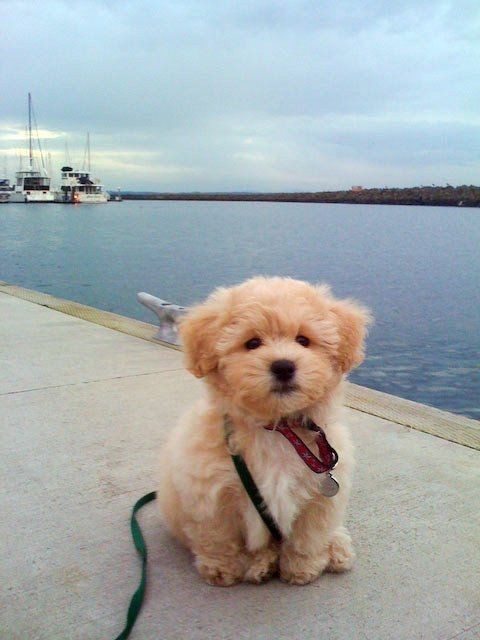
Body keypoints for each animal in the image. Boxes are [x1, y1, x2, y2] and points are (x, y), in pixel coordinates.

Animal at [158, 276, 372, 584]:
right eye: (252, 343)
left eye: (303, 340)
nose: (283, 366)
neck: (278, 428)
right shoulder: (212, 495)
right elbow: (219, 537)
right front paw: (223, 569)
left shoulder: (319, 498)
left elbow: (308, 537)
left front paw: (302, 568)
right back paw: (261, 563)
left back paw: (336, 549)